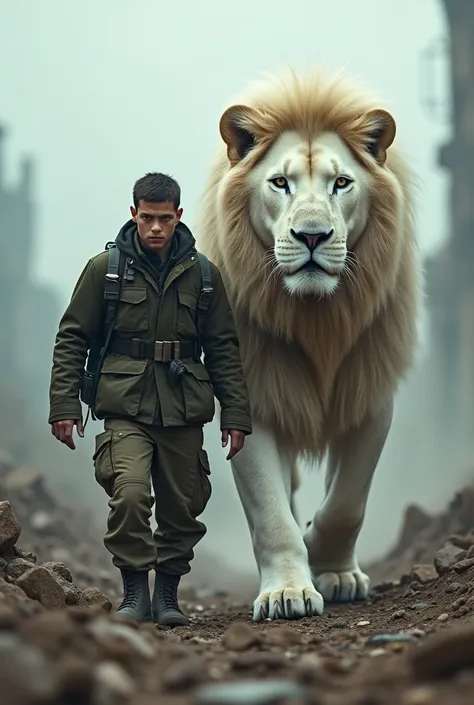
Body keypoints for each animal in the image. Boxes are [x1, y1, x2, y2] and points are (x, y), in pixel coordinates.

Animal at [193, 69, 422, 620]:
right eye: (281, 182)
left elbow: (348, 502)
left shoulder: (370, 393)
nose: (312, 236)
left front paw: (331, 565)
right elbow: (273, 514)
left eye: (342, 183)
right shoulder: (254, 396)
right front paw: (287, 591)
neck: (317, 318)